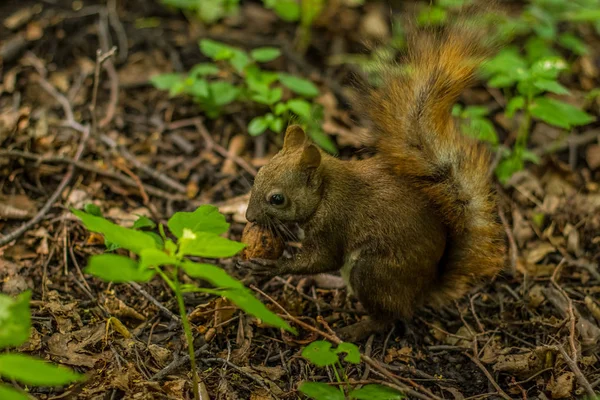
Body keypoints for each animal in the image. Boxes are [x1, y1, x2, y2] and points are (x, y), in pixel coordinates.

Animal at [241, 21, 504, 340]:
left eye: (277, 199)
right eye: (257, 175)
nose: (248, 217)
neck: (326, 192)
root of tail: (425, 288)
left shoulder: (333, 226)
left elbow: (322, 260)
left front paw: (271, 267)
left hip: (373, 271)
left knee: (388, 316)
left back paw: (354, 329)